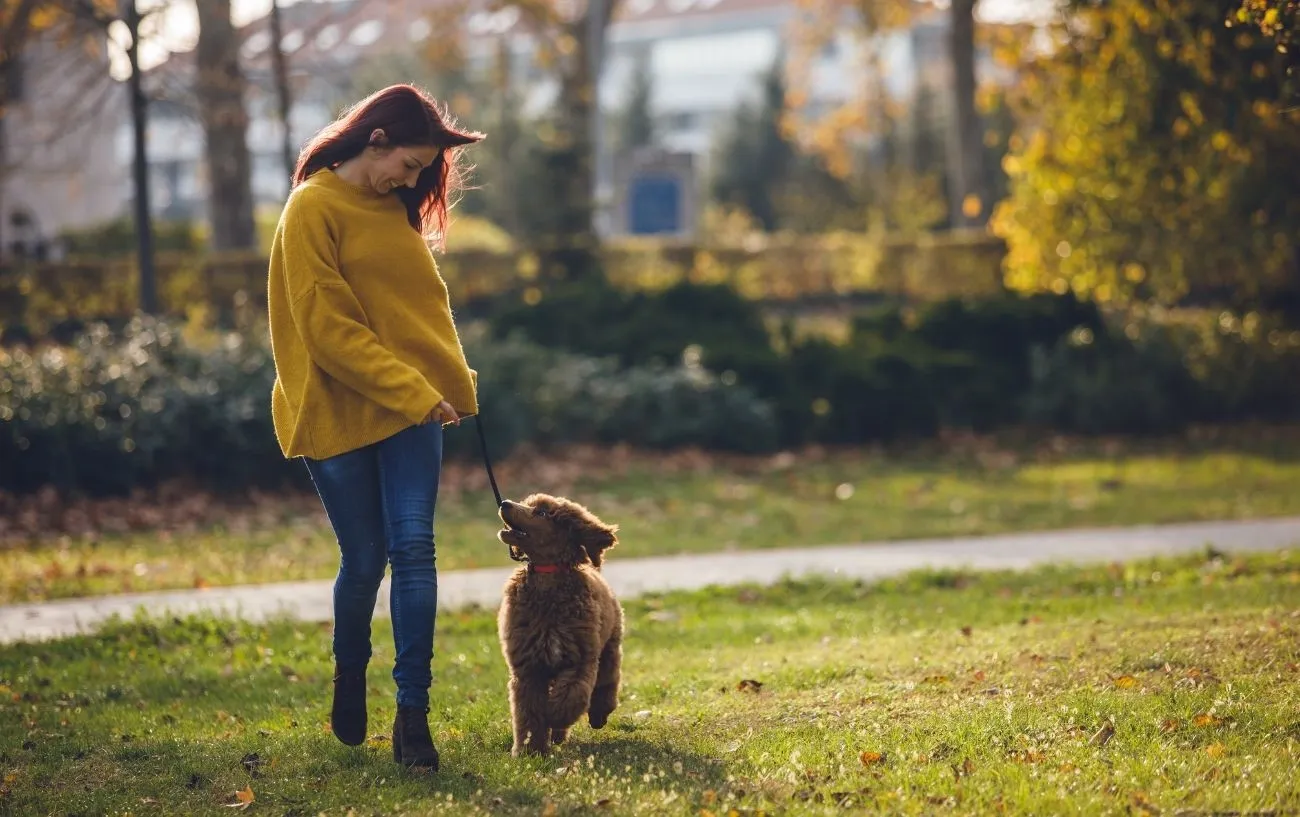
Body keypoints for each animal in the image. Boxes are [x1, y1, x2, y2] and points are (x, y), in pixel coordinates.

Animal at [493, 494, 621, 754]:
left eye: (542, 513)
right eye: (528, 504)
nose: (504, 503)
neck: (547, 577)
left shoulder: (579, 661)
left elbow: (569, 698)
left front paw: (554, 717)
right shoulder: (528, 668)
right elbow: (529, 712)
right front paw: (531, 751)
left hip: (609, 647)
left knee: (607, 682)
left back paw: (597, 715)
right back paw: (558, 737)